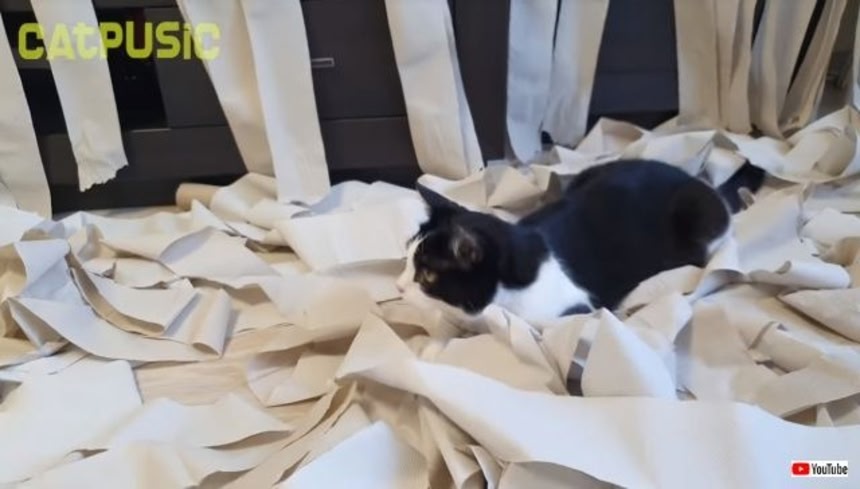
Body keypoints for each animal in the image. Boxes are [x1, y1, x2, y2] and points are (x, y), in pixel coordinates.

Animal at [396, 158, 765, 324]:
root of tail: (694, 178)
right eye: (406, 259)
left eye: (427, 275)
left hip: (700, 214)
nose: (398, 288)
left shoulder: (572, 310)